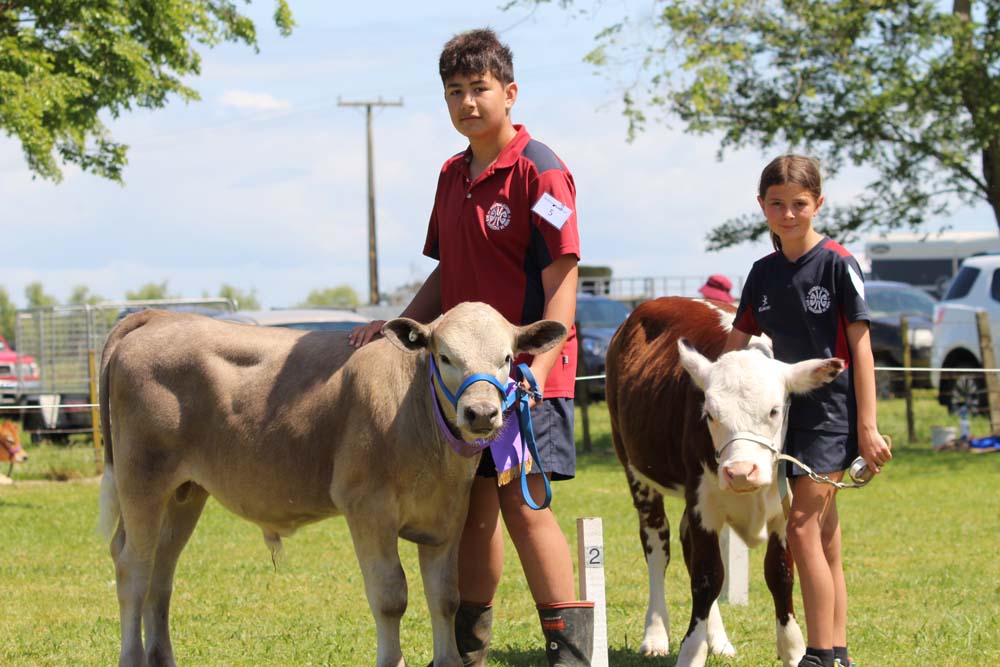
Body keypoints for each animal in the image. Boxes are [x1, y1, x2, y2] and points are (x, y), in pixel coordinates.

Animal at [97, 302, 568, 667]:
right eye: (445, 356)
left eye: (506, 358)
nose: (481, 412)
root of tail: (159, 316)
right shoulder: (368, 508)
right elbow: (391, 596)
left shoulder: (448, 516)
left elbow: (446, 597)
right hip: (142, 478)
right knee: (132, 566)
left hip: (185, 492)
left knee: (161, 571)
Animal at [604, 298, 848, 667]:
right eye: (710, 414)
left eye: (775, 410)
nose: (741, 471)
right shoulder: (702, 503)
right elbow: (707, 577)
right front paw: (691, 651)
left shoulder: (785, 510)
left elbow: (780, 574)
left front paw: (792, 649)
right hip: (636, 472)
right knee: (658, 548)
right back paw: (656, 635)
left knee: (688, 546)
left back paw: (717, 639)